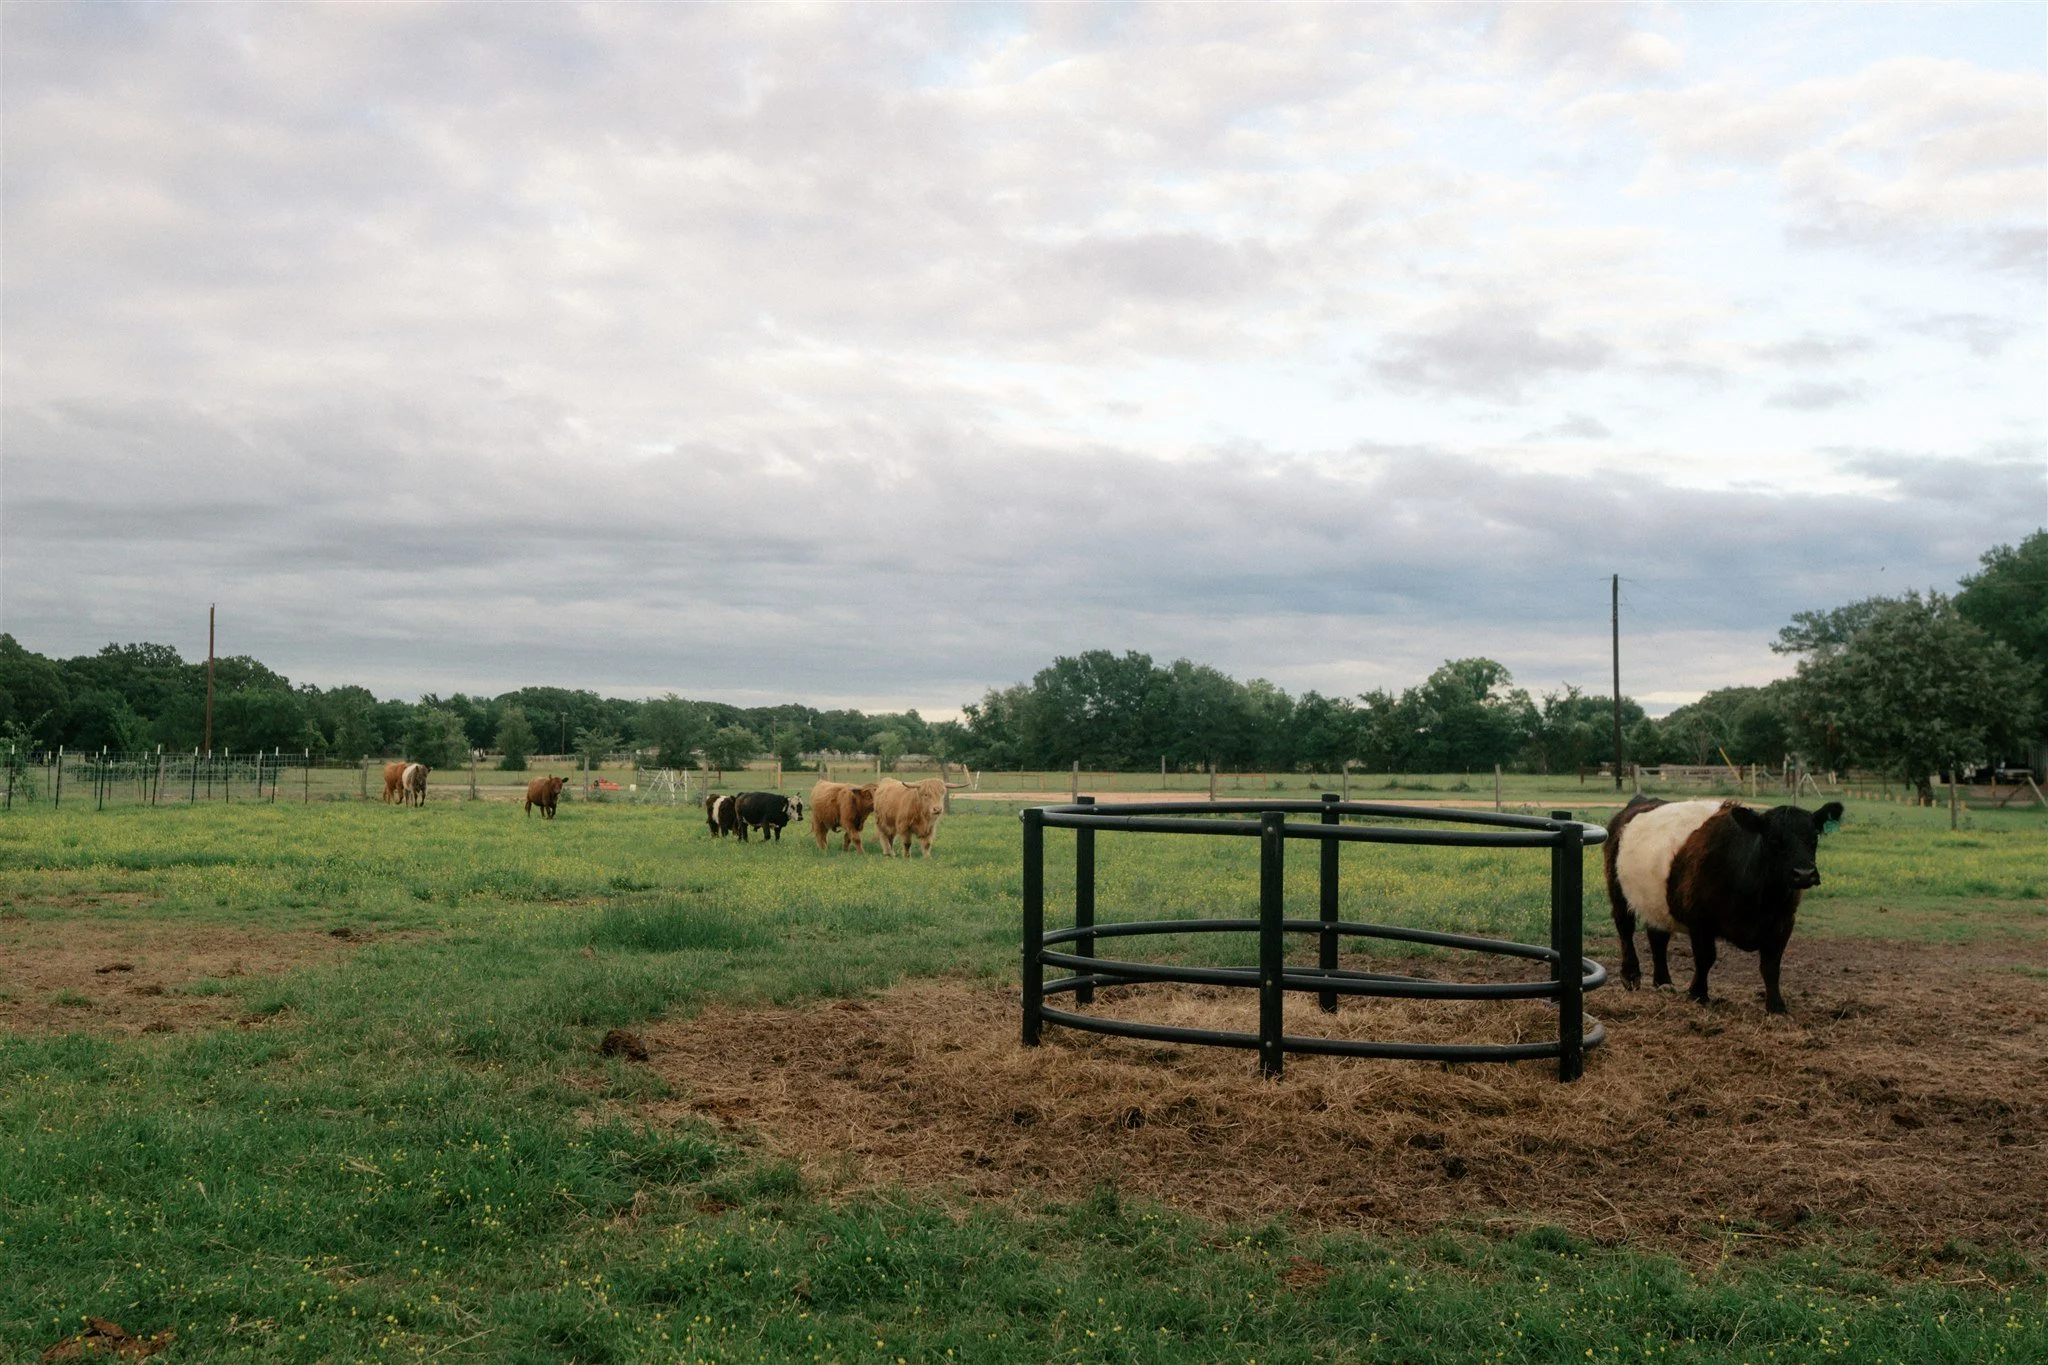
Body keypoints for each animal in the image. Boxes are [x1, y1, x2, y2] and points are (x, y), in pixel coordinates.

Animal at [1604, 796, 1845, 1015]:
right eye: (1773, 839)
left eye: (1814, 837)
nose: (1804, 874)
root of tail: (1641, 801)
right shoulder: (1700, 921)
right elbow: (1705, 958)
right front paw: (1698, 994)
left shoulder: (1783, 922)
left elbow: (1771, 966)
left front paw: (1776, 1006)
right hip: (1618, 892)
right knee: (1625, 929)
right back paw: (1631, 975)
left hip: (1657, 902)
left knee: (1658, 938)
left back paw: (1663, 982)